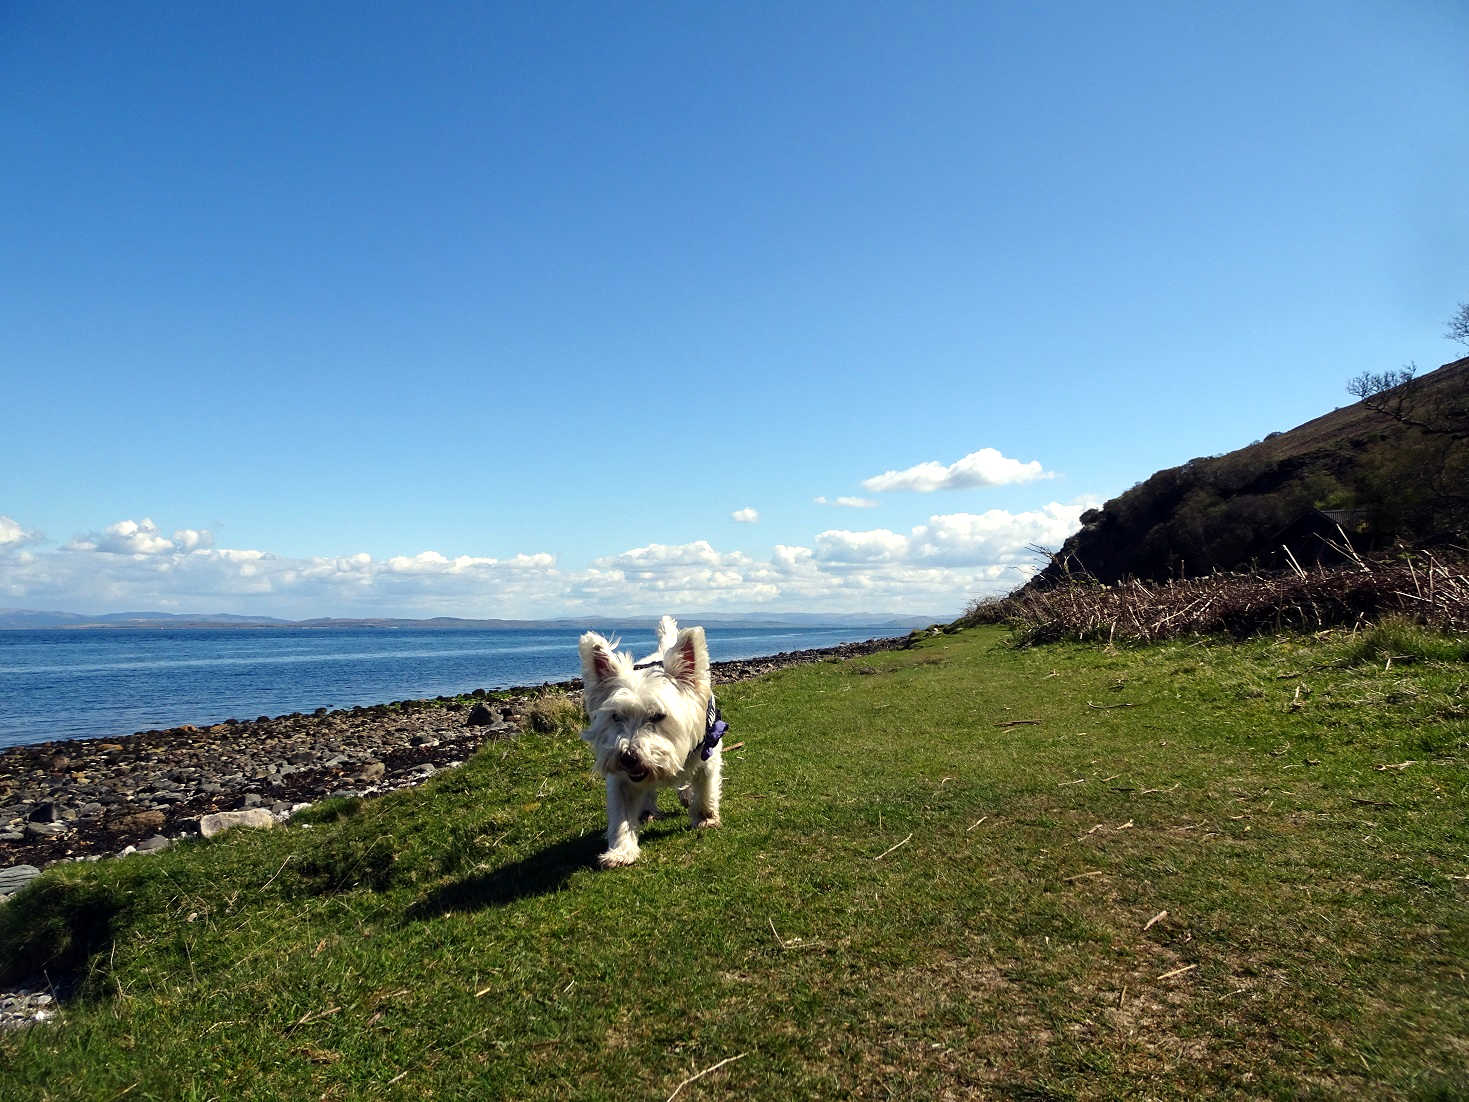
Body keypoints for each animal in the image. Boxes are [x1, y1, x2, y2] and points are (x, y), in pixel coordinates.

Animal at [578, 617, 728, 869]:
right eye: (616, 716)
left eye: (657, 716)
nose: (628, 757)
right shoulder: (621, 780)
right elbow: (621, 814)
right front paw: (621, 851)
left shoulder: (707, 754)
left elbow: (705, 787)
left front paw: (706, 818)